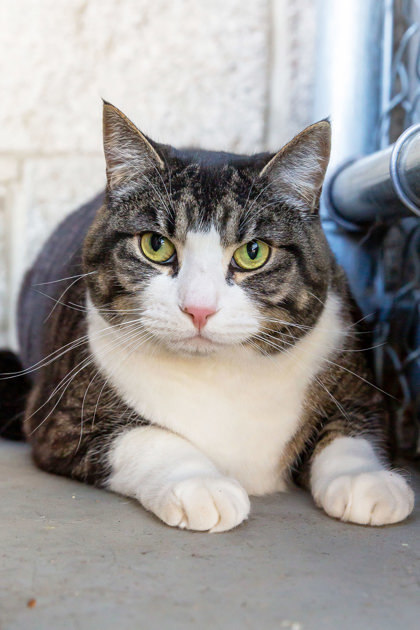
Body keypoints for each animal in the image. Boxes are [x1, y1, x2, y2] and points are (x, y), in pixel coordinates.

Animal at [0, 102, 414, 532]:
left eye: (253, 252)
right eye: (156, 245)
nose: (198, 308)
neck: (220, 375)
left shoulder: (359, 387)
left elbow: (352, 428)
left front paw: (366, 481)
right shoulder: (61, 420)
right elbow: (146, 437)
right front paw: (200, 484)